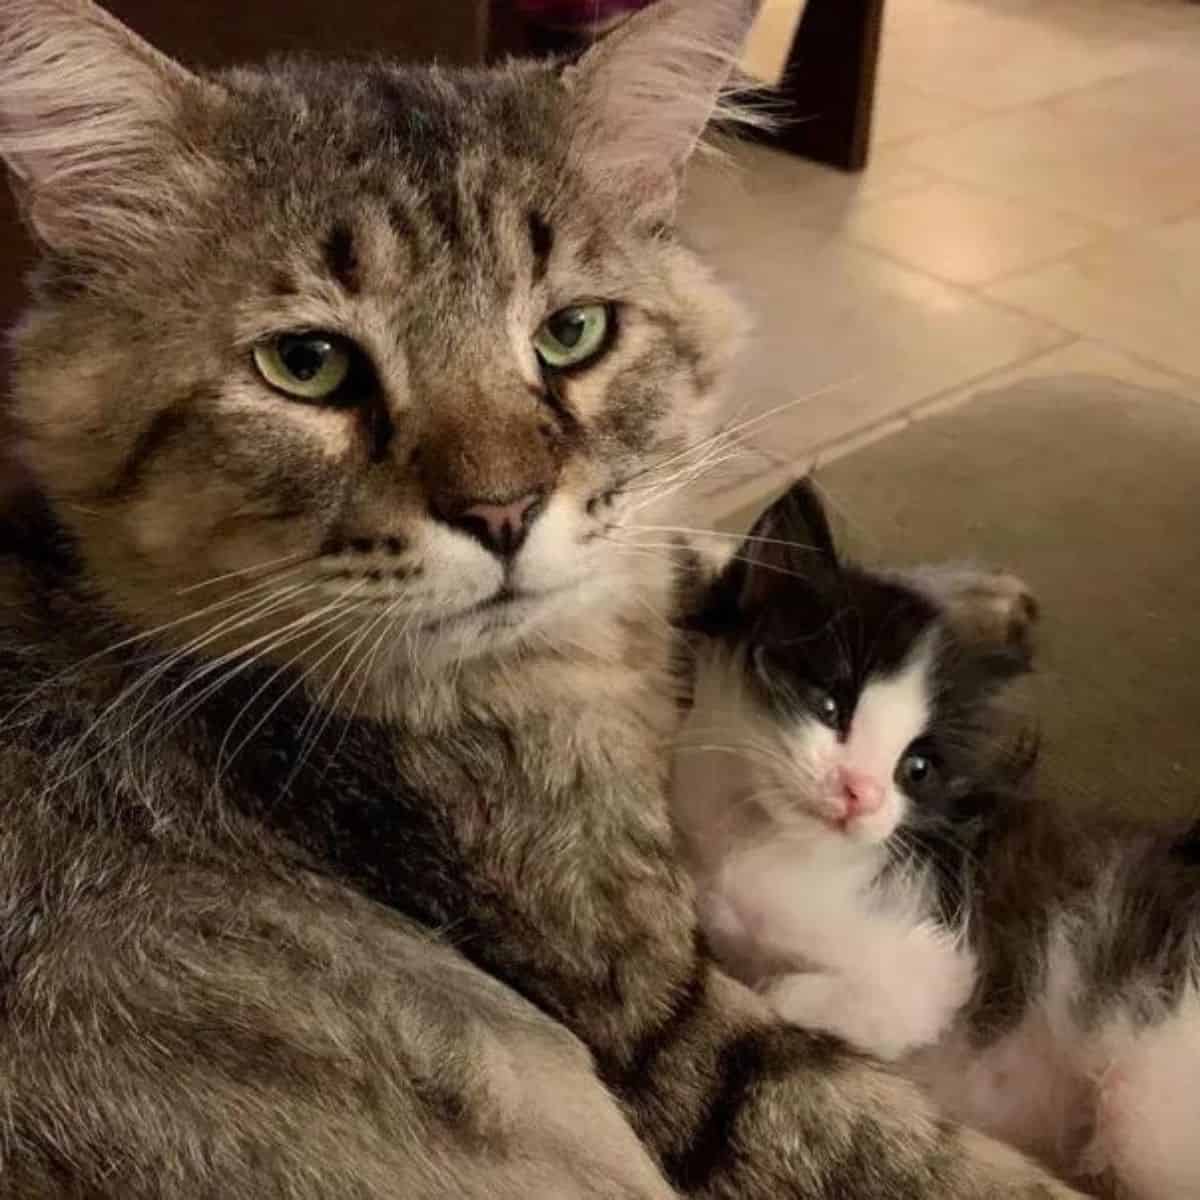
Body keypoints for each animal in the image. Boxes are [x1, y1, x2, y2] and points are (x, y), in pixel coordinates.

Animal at [0, 0, 1084, 1195]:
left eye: (574, 333)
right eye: (307, 363)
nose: (505, 514)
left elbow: (709, 547)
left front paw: (974, 601)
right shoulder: (672, 1025)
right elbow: (933, 1154)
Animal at [676, 480, 1200, 1200]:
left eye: (915, 769)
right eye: (831, 706)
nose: (859, 794)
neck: (756, 836)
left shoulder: (937, 961)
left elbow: (804, 996)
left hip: (1146, 1100)